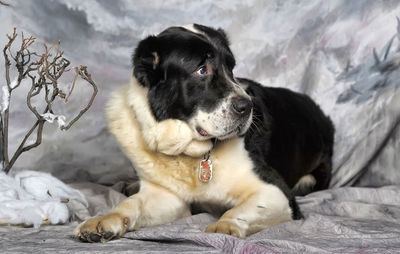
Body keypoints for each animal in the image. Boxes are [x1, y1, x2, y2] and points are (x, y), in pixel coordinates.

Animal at [75, 24, 334, 244]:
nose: (247, 107)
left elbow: (242, 208)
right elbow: (132, 204)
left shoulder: (276, 191)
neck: (188, 153)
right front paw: (104, 220)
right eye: (202, 70)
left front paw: (225, 225)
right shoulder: (166, 197)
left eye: (231, 68)